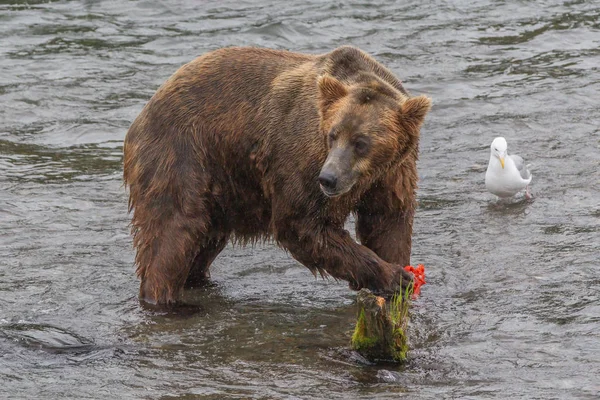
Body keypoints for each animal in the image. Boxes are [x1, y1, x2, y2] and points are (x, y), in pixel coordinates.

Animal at [123, 45, 432, 304]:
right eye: (332, 135)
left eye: (361, 142)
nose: (328, 179)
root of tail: (143, 112)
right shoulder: (302, 155)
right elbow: (301, 223)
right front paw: (393, 276)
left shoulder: (393, 173)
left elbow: (387, 220)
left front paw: (399, 275)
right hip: (182, 156)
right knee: (174, 232)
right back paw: (164, 300)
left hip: (223, 190)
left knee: (203, 242)